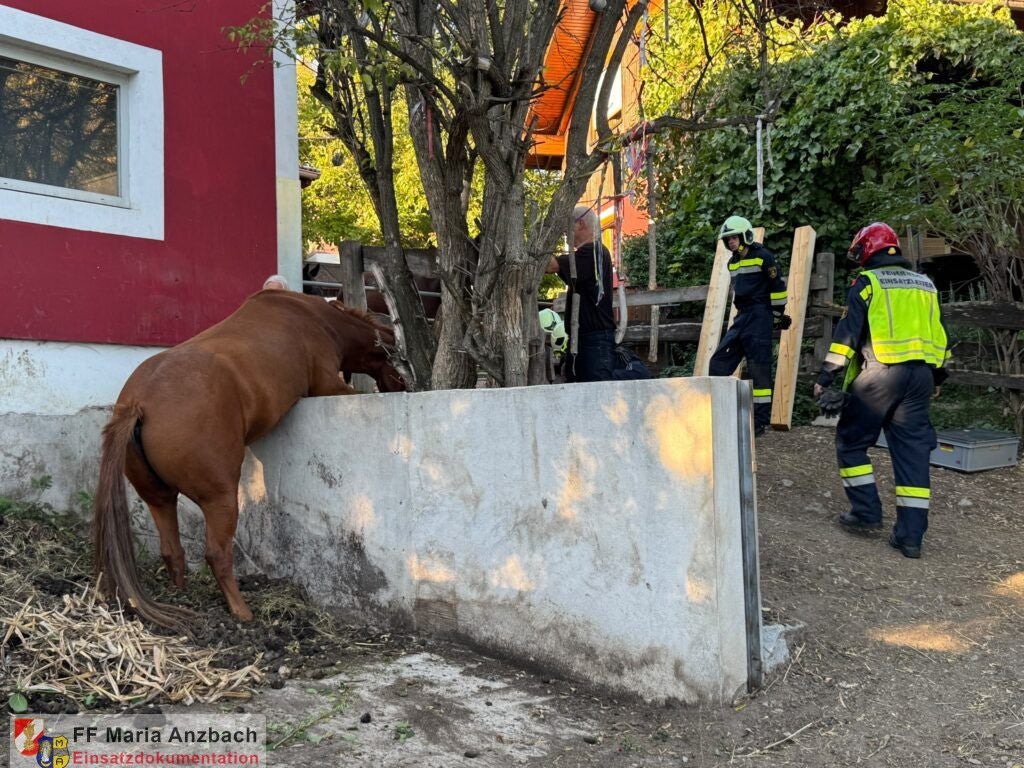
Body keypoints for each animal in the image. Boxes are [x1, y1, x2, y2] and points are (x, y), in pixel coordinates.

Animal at [92, 290, 406, 630]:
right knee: (217, 554)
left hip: (159, 499)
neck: (316, 318)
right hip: (221, 499)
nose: (407, 386)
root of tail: (138, 403)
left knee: (171, 550)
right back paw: (241, 611)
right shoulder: (328, 386)